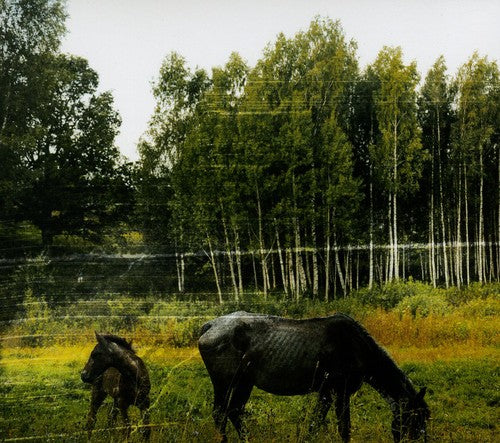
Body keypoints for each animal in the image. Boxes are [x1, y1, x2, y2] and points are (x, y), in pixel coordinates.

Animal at [199, 312, 430, 443]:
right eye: (415, 419)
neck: (356, 347)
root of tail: (211, 325)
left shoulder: (333, 393)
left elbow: (328, 425)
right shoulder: (335, 392)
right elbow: (332, 425)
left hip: (243, 383)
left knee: (234, 412)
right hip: (225, 383)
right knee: (220, 413)